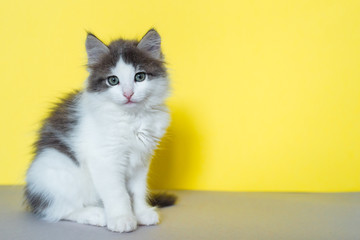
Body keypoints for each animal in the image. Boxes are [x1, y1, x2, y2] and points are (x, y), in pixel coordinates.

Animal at [25, 28, 176, 232]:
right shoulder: (105, 159)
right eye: (113, 80)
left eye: (140, 77)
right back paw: (96, 214)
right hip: (56, 172)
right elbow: (118, 193)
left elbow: (137, 190)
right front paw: (122, 219)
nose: (128, 94)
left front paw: (141, 213)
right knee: (59, 209)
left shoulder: (142, 160)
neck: (132, 118)